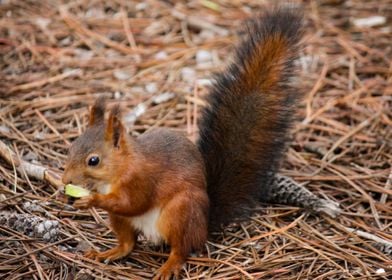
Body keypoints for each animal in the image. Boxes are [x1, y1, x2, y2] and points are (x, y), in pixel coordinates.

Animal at [62, 7, 304, 280]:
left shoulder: (140, 179)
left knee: (182, 248)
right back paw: (108, 253)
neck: (118, 170)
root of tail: (204, 225)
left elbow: (133, 202)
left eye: (93, 160)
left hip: (181, 212)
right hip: (123, 221)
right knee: (127, 244)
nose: (65, 180)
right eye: (71, 147)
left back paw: (170, 265)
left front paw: (91, 200)